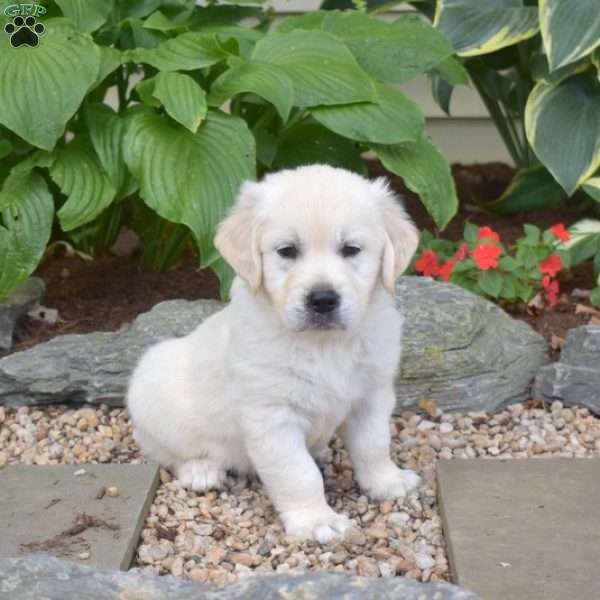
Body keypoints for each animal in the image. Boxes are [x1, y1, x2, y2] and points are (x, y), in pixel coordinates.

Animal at [126, 164, 420, 544]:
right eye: (287, 250)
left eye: (351, 249)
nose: (322, 299)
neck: (323, 344)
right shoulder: (271, 416)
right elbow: (297, 472)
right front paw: (316, 519)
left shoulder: (371, 396)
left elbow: (374, 445)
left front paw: (388, 482)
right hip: (153, 393)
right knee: (165, 451)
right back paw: (201, 470)